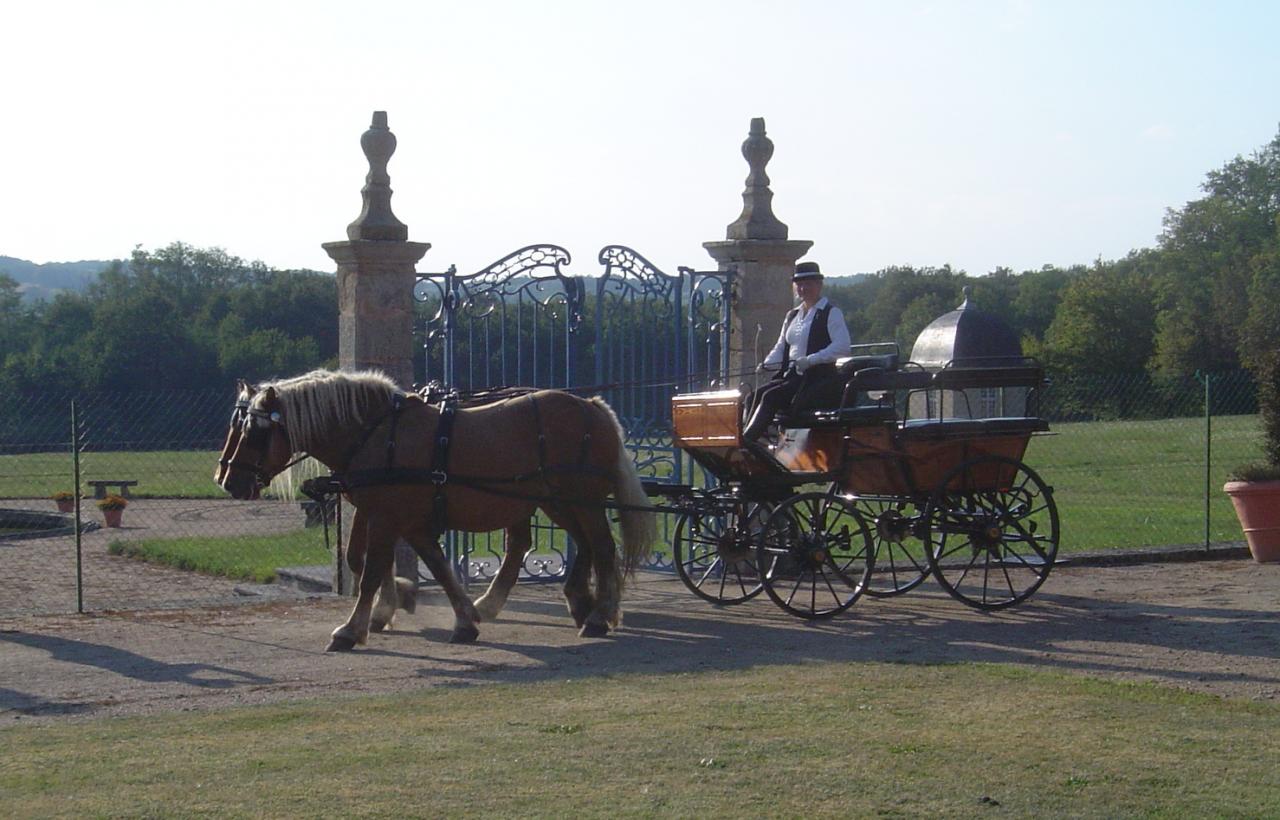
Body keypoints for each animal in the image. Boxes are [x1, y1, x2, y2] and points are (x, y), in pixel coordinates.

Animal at [218, 368, 655, 644]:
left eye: (253, 432)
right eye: (235, 426)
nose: (227, 479)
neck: (376, 433)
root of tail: (593, 406)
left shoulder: (388, 516)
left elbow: (371, 571)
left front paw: (353, 628)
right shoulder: (397, 518)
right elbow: (428, 566)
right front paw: (456, 616)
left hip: (582, 500)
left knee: (601, 547)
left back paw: (598, 615)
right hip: (557, 502)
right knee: (581, 545)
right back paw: (578, 603)